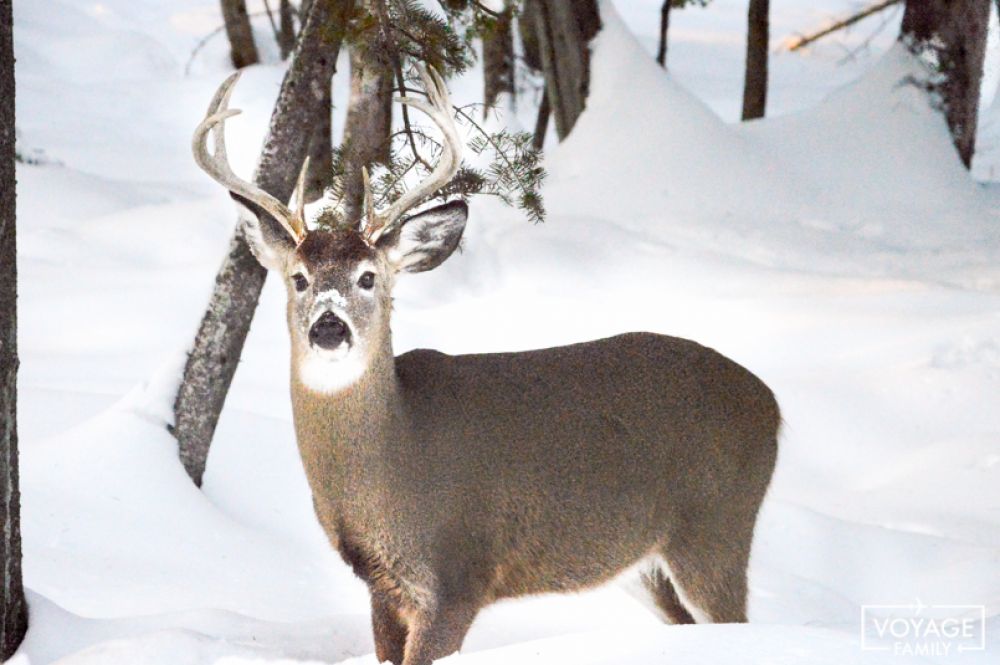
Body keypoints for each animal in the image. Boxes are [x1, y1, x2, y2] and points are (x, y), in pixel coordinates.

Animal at [191, 66, 776, 664]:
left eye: (368, 277)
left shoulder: (458, 575)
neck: (391, 465)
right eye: (299, 279)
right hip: (647, 562)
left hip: (717, 525)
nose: (328, 328)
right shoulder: (382, 587)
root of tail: (769, 403)